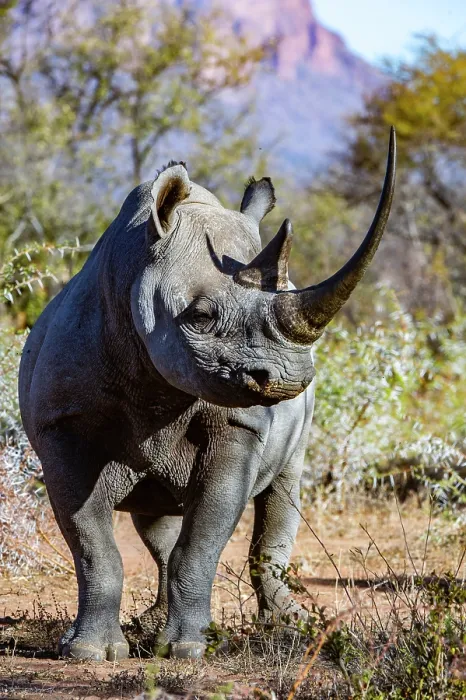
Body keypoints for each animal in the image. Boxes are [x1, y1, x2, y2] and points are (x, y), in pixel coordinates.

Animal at [18, 129, 395, 660]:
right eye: (198, 317)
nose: (288, 379)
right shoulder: (63, 428)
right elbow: (93, 545)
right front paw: (89, 653)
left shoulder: (238, 423)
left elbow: (201, 541)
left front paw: (189, 650)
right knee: (155, 521)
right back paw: (149, 624)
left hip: (300, 427)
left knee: (282, 490)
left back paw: (288, 627)